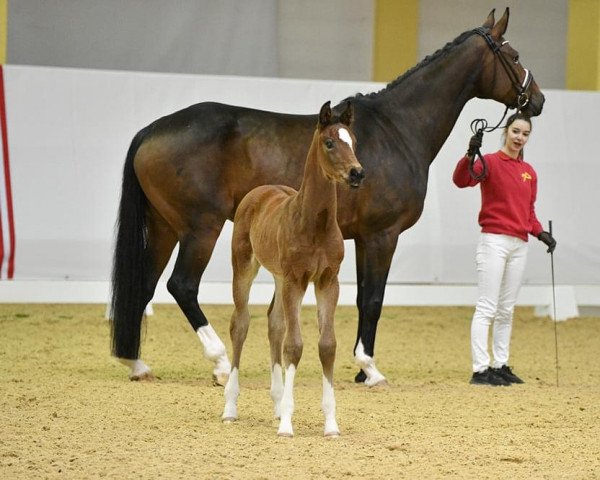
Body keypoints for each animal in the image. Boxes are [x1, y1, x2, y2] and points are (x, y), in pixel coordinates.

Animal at [223, 102, 364, 438]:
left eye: (352, 140)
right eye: (329, 142)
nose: (357, 173)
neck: (316, 224)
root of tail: (258, 191)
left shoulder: (328, 281)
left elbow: (326, 345)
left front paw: (331, 424)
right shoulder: (296, 281)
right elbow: (294, 345)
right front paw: (287, 424)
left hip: (278, 276)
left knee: (274, 323)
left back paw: (275, 404)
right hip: (245, 266)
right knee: (240, 324)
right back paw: (230, 407)